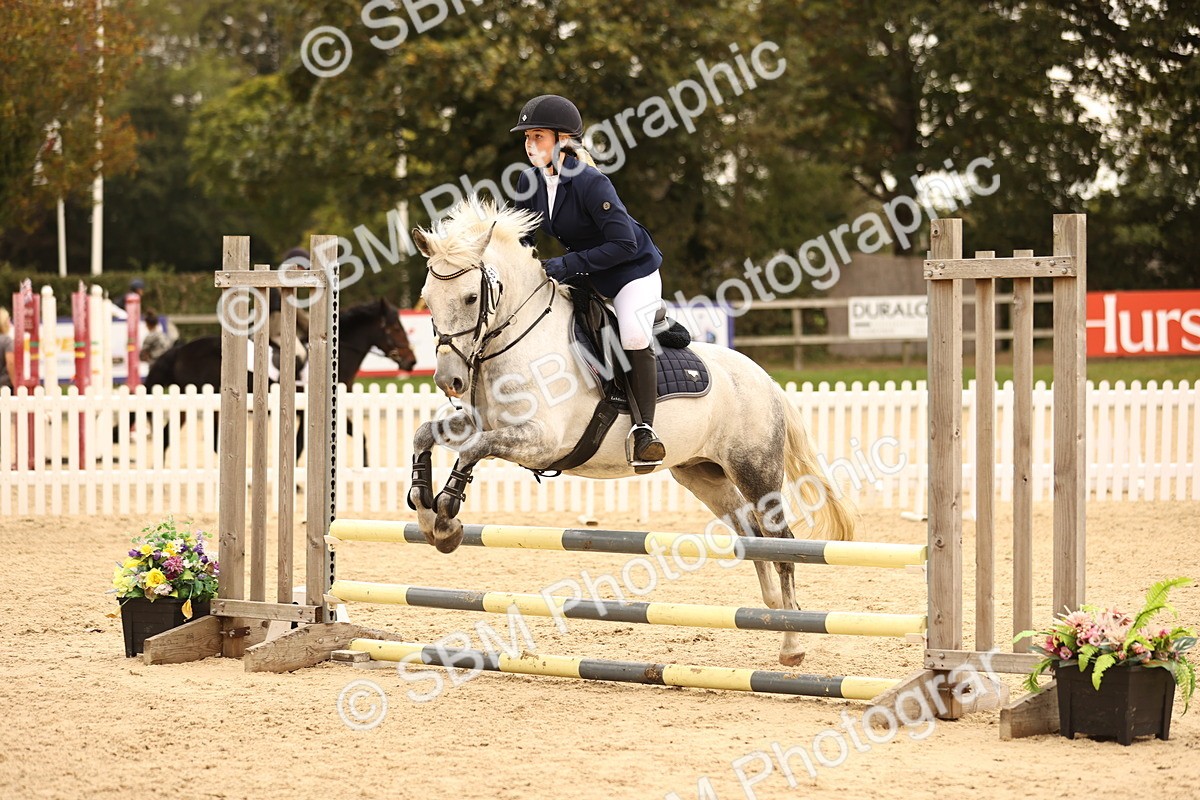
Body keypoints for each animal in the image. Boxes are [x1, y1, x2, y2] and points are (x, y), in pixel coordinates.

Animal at [406, 199, 855, 667]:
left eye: (471, 297)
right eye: (428, 298)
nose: (449, 381)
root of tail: (765, 379)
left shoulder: (541, 442)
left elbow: (473, 450)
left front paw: (447, 514)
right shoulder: (482, 424)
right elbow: (424, 435)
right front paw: (427, 512)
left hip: (755, 469)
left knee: (779, 541)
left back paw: (792, 644)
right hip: (702, 473)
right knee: (750, 533)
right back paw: (773, 612)